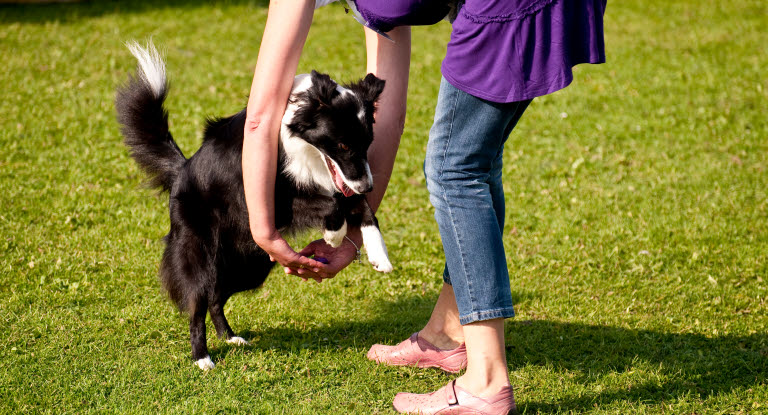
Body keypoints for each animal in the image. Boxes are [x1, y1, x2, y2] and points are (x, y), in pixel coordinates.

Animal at [117, 44, 392, 372]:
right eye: (343, 146)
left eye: (367, 144)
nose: (368, 186)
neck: (298, 140)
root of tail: (181, 171)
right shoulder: (276, 201)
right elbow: (332, 202)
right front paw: (334, 235)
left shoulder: (338, 182)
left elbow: (359, 206)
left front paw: (379, 254)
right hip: (200, 255)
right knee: (197, 305)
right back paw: (202, 357)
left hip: (249, 264)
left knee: (215, 298)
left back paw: (230, 337)